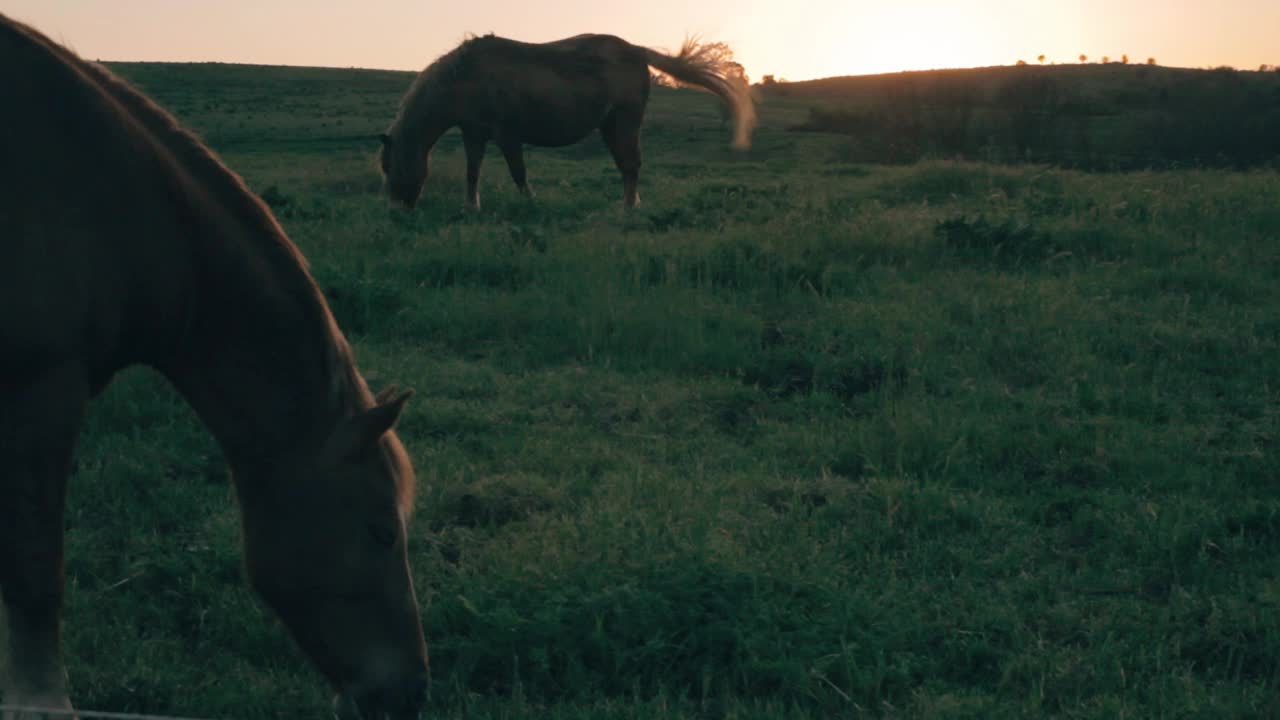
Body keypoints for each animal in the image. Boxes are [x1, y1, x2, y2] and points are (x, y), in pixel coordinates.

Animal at [378, 33, 757, 207]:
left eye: (390, 165)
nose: (399, 207)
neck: (465, 78)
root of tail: (635, 50)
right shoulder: (475, 135)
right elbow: (473, 173)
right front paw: (473, 206)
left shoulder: (507, 136)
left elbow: (519, 173)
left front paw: (530, 203)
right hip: (611, 128)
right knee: (627, 166)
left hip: (624, 124)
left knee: (631, 165)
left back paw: (628, 208)